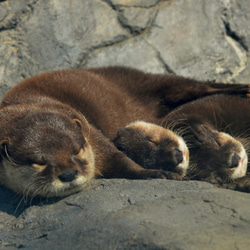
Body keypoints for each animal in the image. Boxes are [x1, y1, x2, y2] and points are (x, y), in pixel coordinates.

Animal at [0, 67, 248, 197]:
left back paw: (243, 88)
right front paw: (161, 173)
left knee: (197, 85)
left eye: (77, 150)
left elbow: (118, 159)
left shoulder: (91, 132)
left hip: (145, 79)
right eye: (38, 162)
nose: (68, 174)